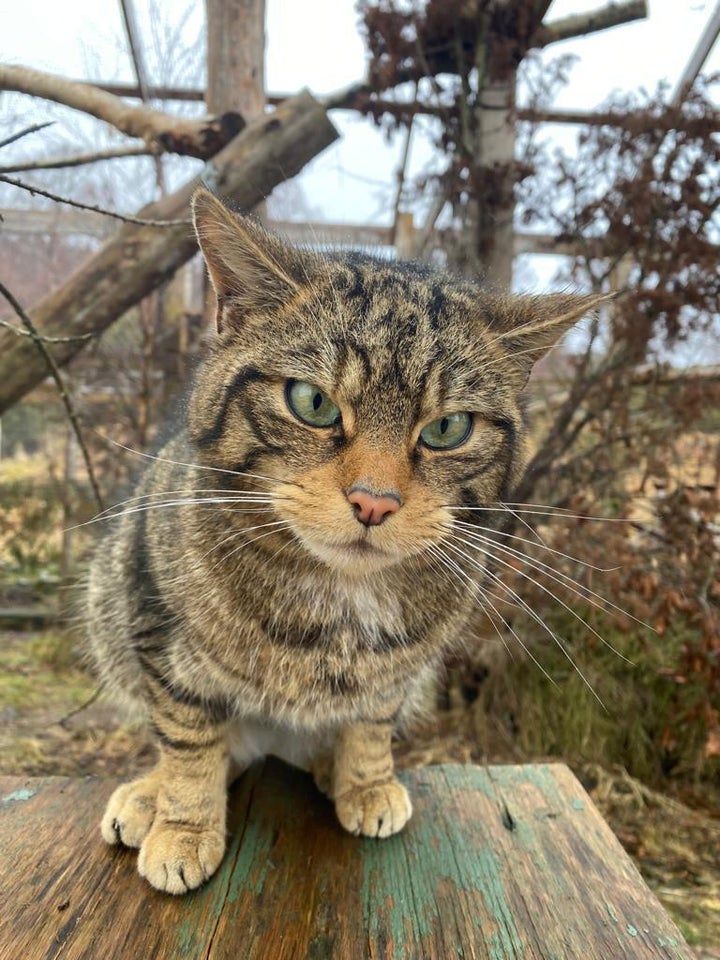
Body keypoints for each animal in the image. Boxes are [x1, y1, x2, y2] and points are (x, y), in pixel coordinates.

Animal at [87, 188, 612, 892]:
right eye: (312, 402)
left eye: (447, 428)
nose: (374, 501)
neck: (338, 607)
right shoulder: (163, 644)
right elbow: (190, 741)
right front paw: (185, 827)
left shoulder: (397, 675)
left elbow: (370, 721)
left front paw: (366, 783)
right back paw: (149, 796)